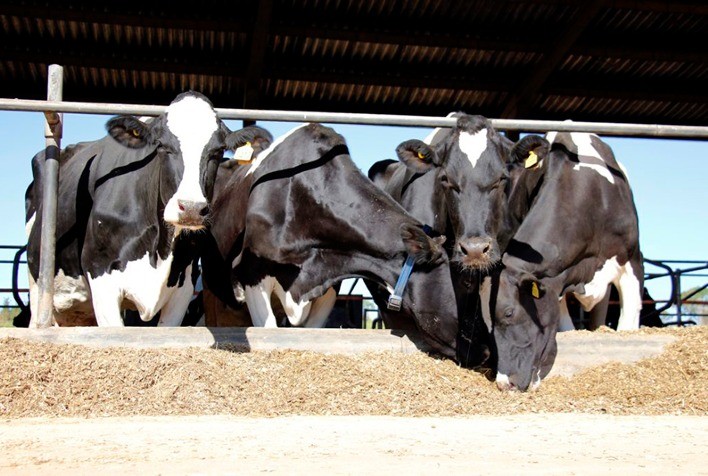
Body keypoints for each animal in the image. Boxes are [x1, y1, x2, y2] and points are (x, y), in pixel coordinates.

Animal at [26, 91, 273, 327]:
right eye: (161, 145)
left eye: (218, 151)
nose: (191, 208)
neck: (159, 249)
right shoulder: (100, 276)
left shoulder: (183, 287)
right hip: (38, 284)